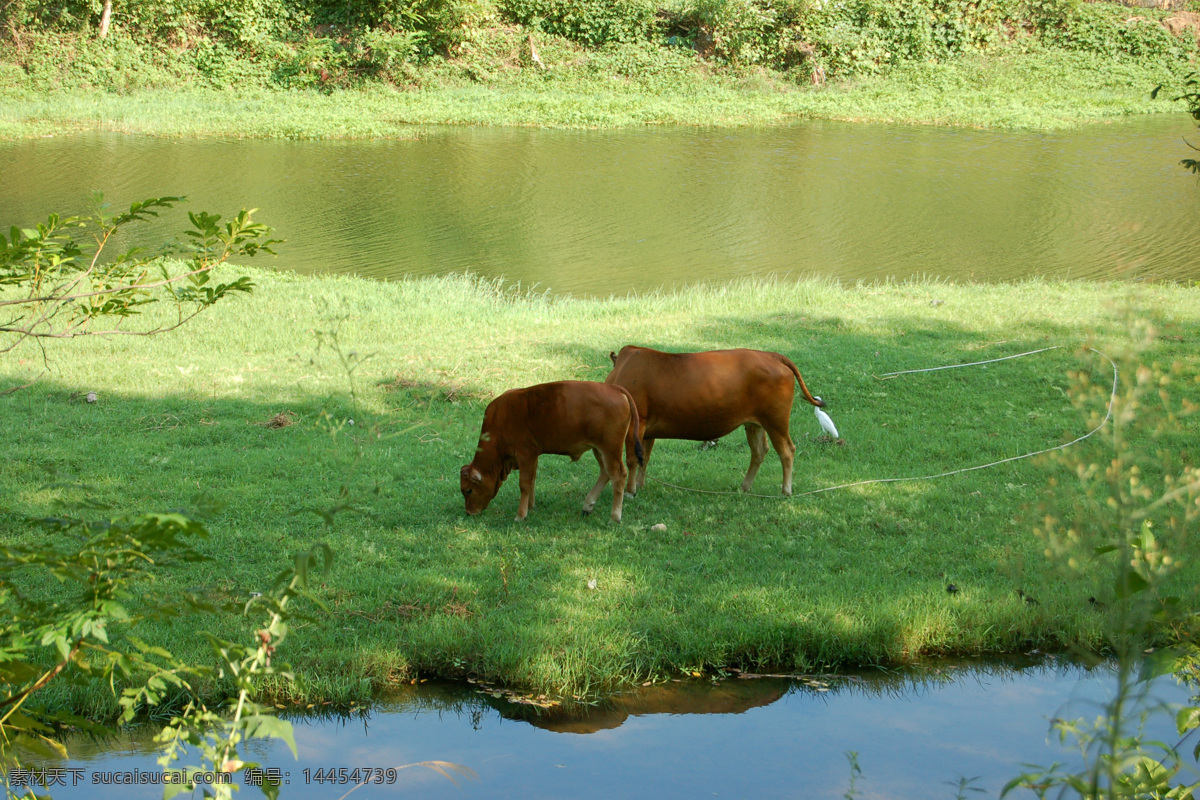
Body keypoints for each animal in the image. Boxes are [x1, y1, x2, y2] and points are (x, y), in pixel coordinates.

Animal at [609, 347, 825, 496]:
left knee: (787, 451)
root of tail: (772, 355)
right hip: (755, 424)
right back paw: (745, 487)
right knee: (759, 451)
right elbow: (644, 457)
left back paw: (786, 490)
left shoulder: (636, 425)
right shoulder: (647, 431)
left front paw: (630, 491)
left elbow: (633, 458)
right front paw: (639, 485)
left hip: (776, 421)